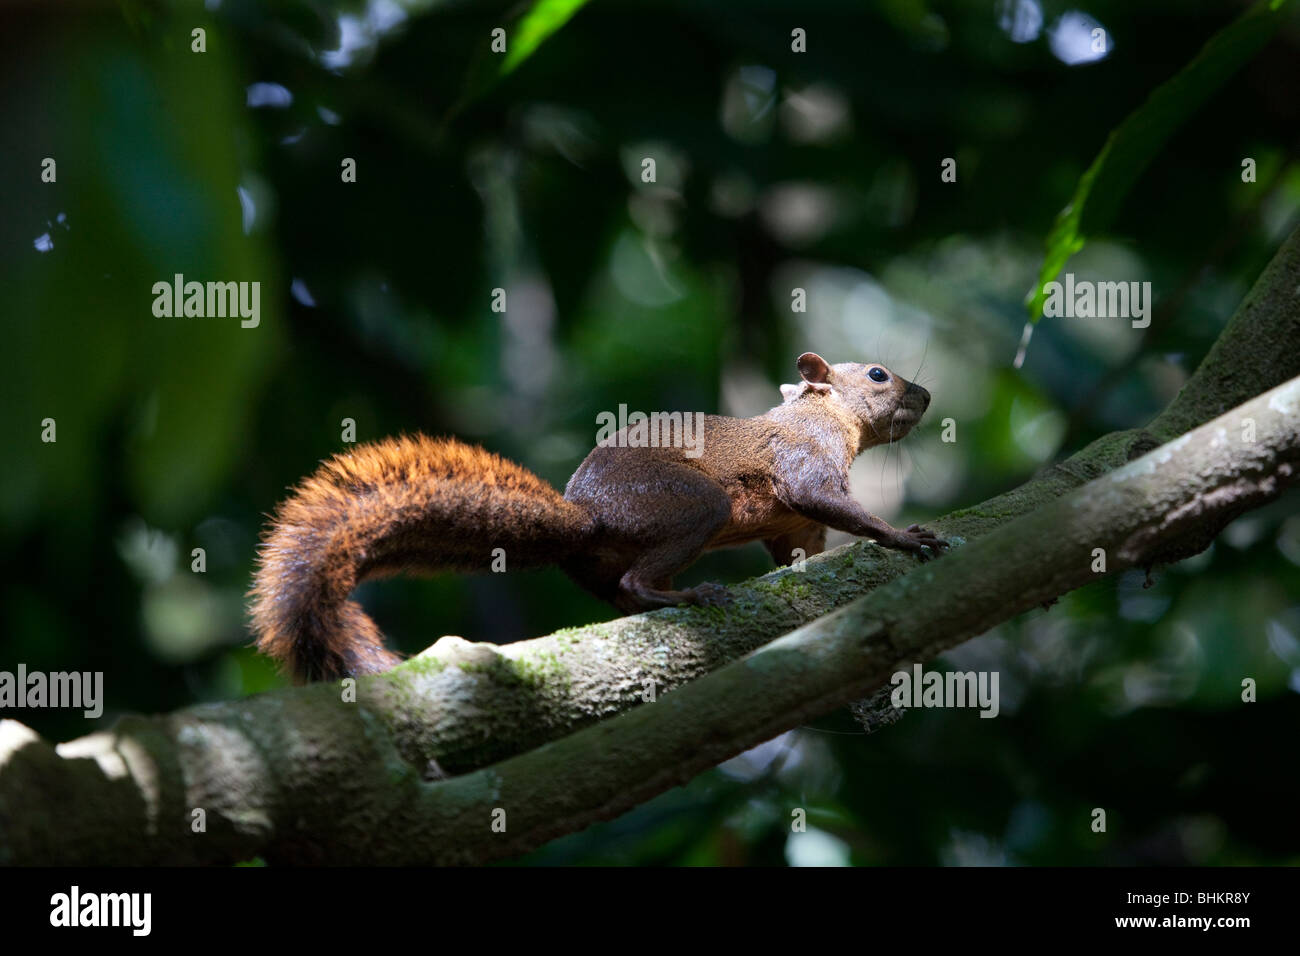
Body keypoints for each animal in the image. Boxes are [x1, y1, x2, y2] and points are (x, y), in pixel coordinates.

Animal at [250, 356, 946, 686]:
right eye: (878, 374)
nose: (927, 394)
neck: (825, 419)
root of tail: (589, 519)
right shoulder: (802, 464)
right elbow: (821, 500)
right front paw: (903, 537)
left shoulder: (789, 527)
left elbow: (798, 551)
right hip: (693, 505)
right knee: (638, 584)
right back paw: (687, 596)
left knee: (621, 596)